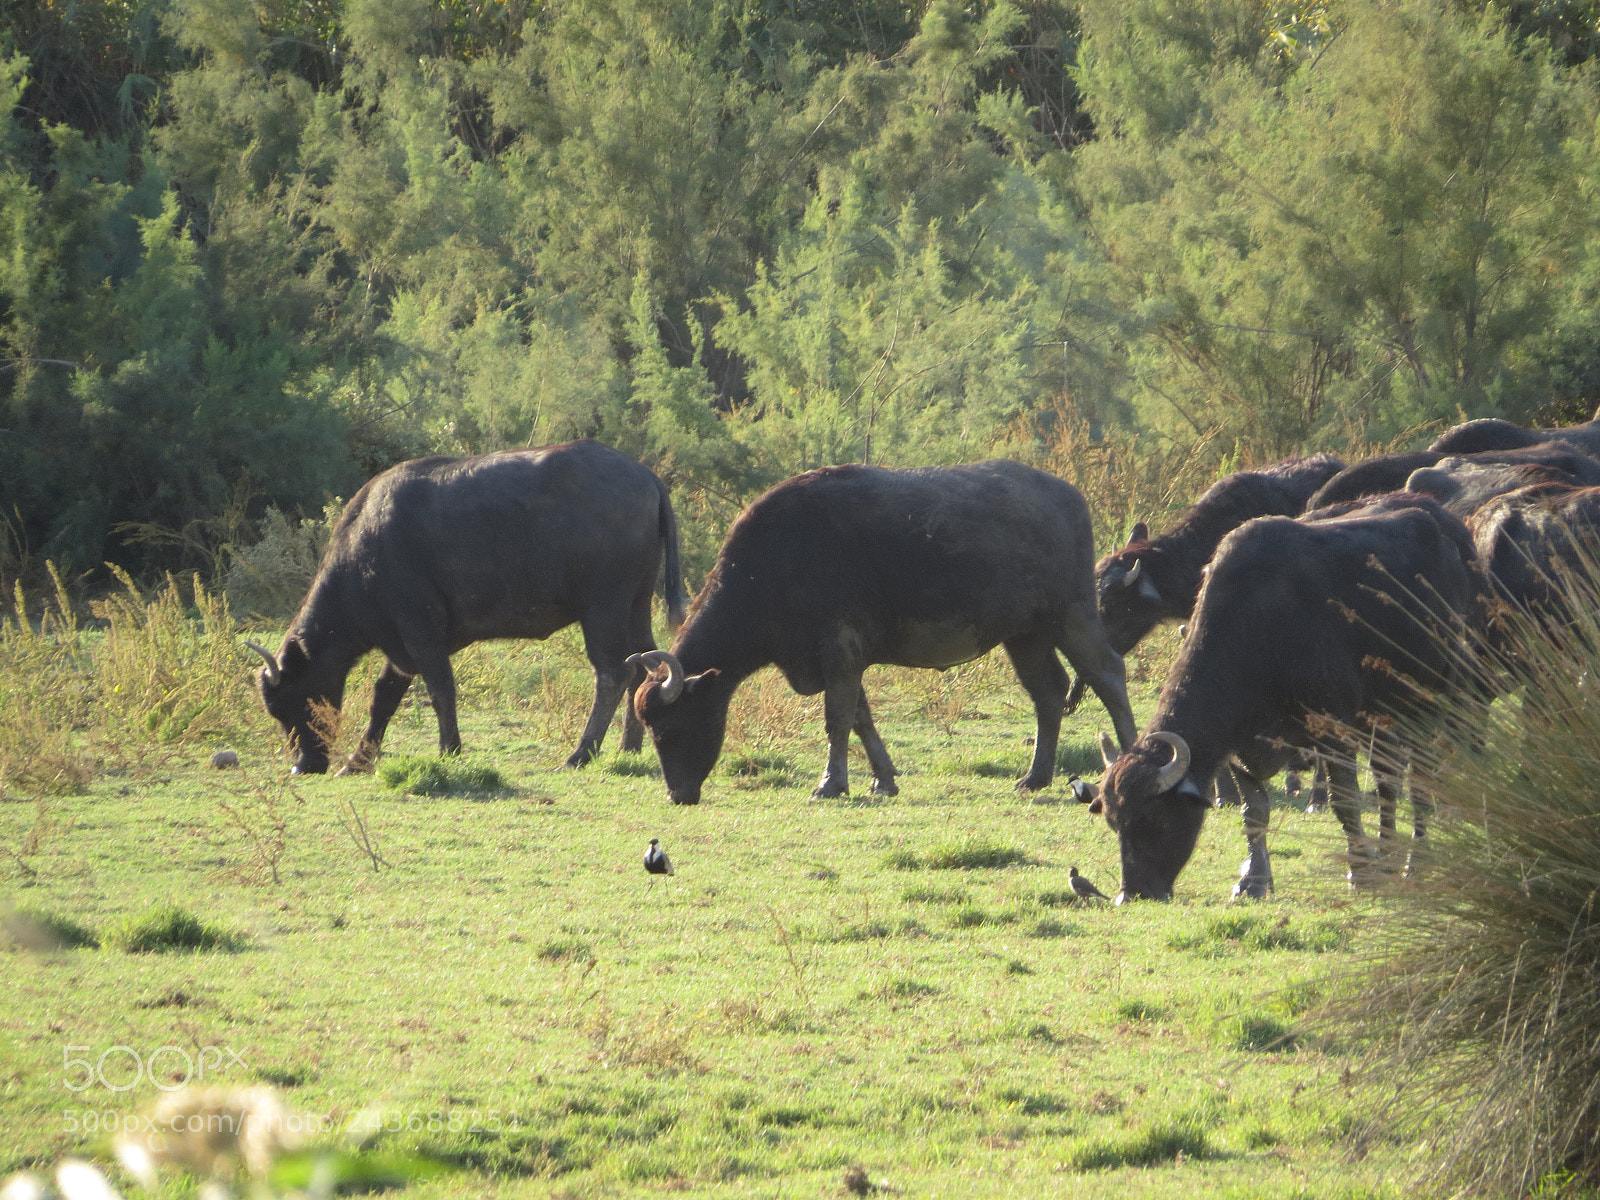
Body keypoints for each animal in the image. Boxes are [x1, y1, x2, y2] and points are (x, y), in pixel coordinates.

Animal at [248, 441, 686, 774]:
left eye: (290, 702)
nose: (303, 765)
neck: (365, 552)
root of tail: (646, 477)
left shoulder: (420, 633)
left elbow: (440, 690)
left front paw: (450, 750)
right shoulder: (402, 646)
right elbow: (384, 698)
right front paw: (358, 760)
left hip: (602, 608)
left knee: (613, 672)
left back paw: (579, 754)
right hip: (636, 605)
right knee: (645, 664)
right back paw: (628, 748)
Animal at [631, 461, 1139, 805]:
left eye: (670, 727)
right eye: (650, 727)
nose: (678, 794)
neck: (776, 564)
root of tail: (1069, 497)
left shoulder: (839, 651)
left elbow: (837, 719)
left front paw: (830, 784)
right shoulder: (843, 659)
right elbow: (862, 718)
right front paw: (883, 779)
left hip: (1072, 613)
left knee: (1109, 673)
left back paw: (1129, 754)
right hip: (1025, 635)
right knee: (1048, 692)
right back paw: (1034, 777)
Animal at [1092, 494, 1478, 902]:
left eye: (1154, 819)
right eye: (1115, 823)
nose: (1131, 893)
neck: (1261, 629)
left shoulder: (1333, 729)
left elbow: (1345, 802)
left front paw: (1360, 872)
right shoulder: (1238, 745)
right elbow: (1254, 812)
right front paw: (1254, 880)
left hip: (1438, 696)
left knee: (1421, 781)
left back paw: (1412, 862)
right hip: (1384, 712)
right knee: (1388, 781)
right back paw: (1388, 856)